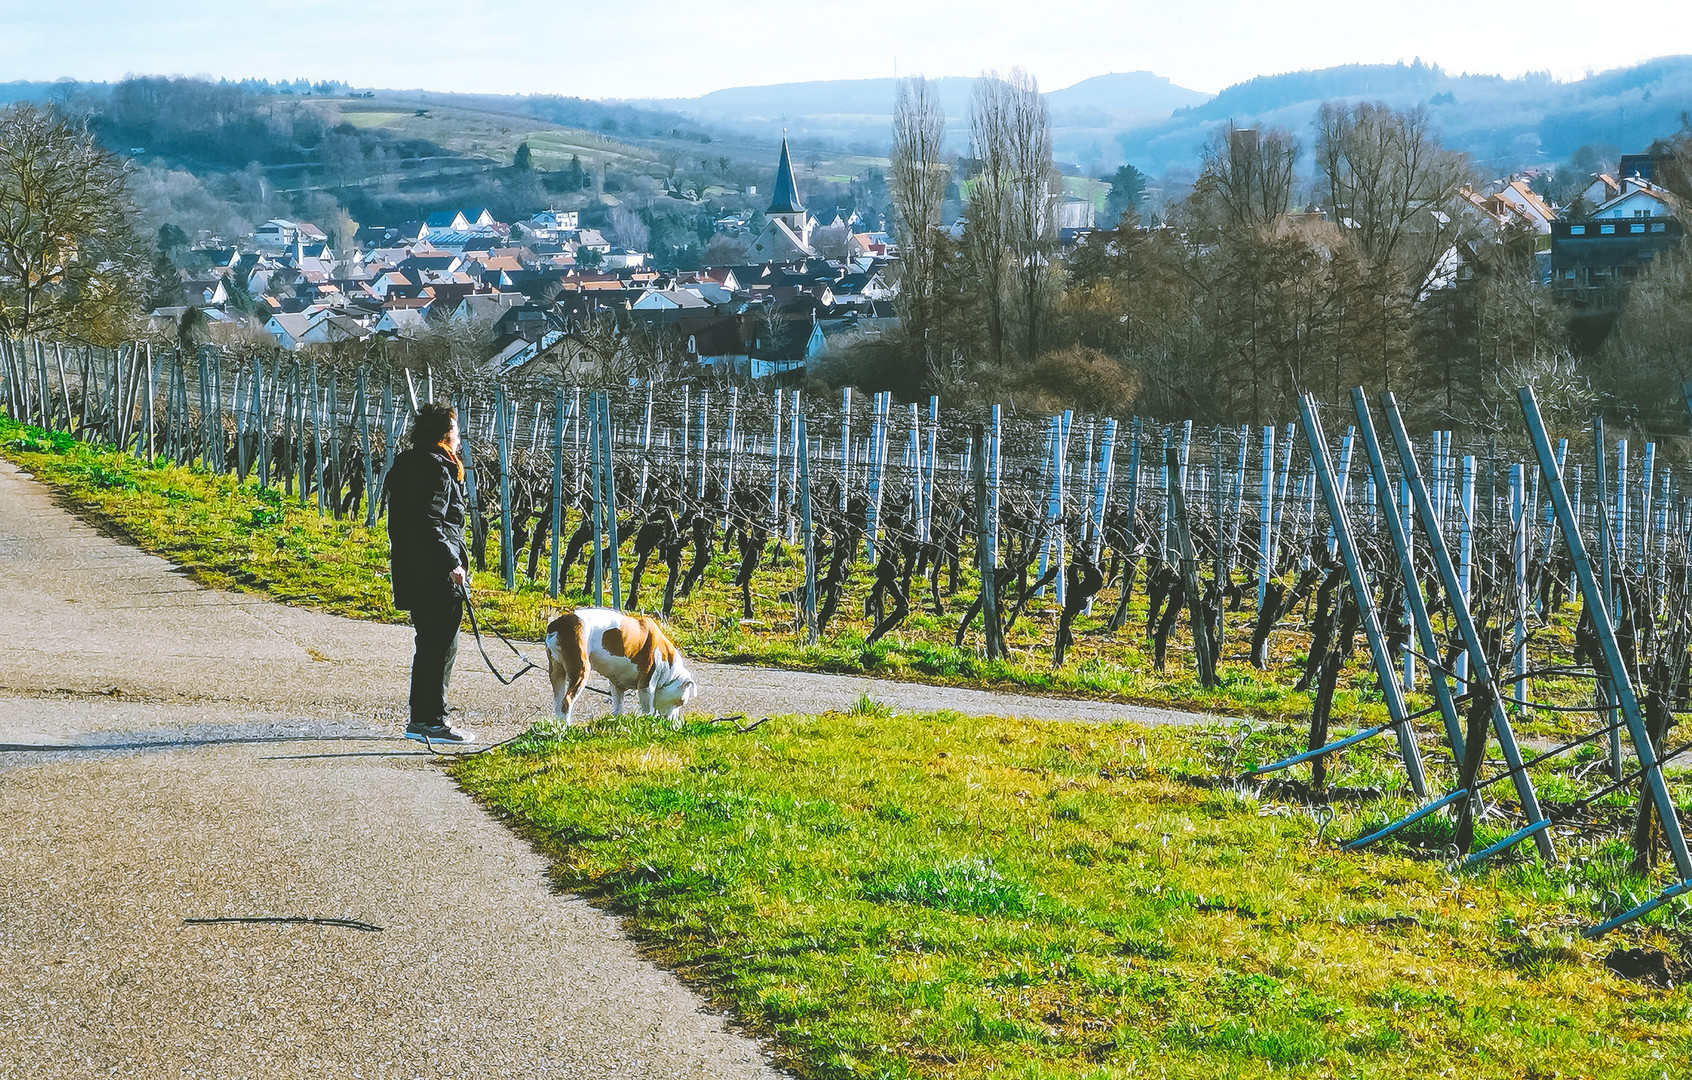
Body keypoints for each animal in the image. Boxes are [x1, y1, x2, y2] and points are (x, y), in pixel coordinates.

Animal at [544, 609, 697, 727]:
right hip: (580, 671)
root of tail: (560, 622)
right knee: (567, 701)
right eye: (681, 702)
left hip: (556, 673)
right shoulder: (647, 686)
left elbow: (618, 706)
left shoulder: (616, 684)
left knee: (558, 702)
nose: (674, 721)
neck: (670, 671)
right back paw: (567, 727)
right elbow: (648, 709)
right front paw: (648, 722)